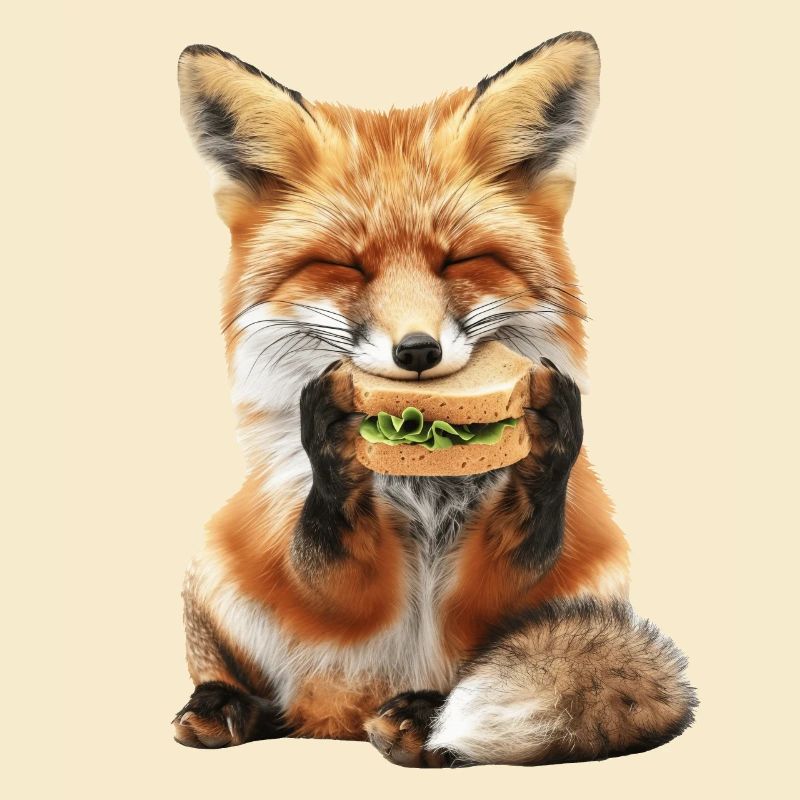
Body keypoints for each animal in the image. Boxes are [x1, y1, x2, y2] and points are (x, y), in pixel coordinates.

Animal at [172, 32, 696, 767]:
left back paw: (421, 720)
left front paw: (554, 429)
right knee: (247, 680)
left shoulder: (519, 586)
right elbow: (328, 567)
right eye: (347, 265)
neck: (426, 493)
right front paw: (329, 429)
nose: (416, 351)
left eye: (459, 260)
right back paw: (225, 704)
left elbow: (516, 559)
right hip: (217, 569)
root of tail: (336, 718)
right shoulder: (310, 559)